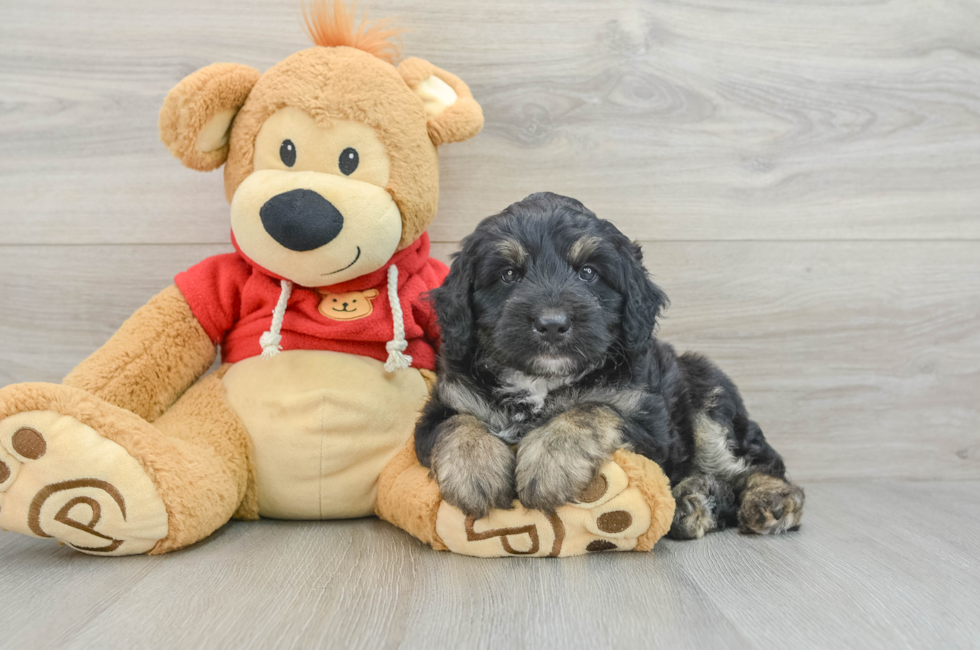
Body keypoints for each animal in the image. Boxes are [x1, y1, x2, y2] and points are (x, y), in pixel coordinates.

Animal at [414, 192, 804, 536]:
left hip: (708, 394)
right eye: (509, 274)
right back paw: (694, 501)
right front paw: (474, 471)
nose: (552, 323)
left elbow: (593, 408)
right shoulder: (445, 402)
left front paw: (549, 461)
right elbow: (456, 423)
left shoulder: (651, 426)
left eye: (588, 272)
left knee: (756, 463)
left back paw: (771, 499)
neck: (541, 381)